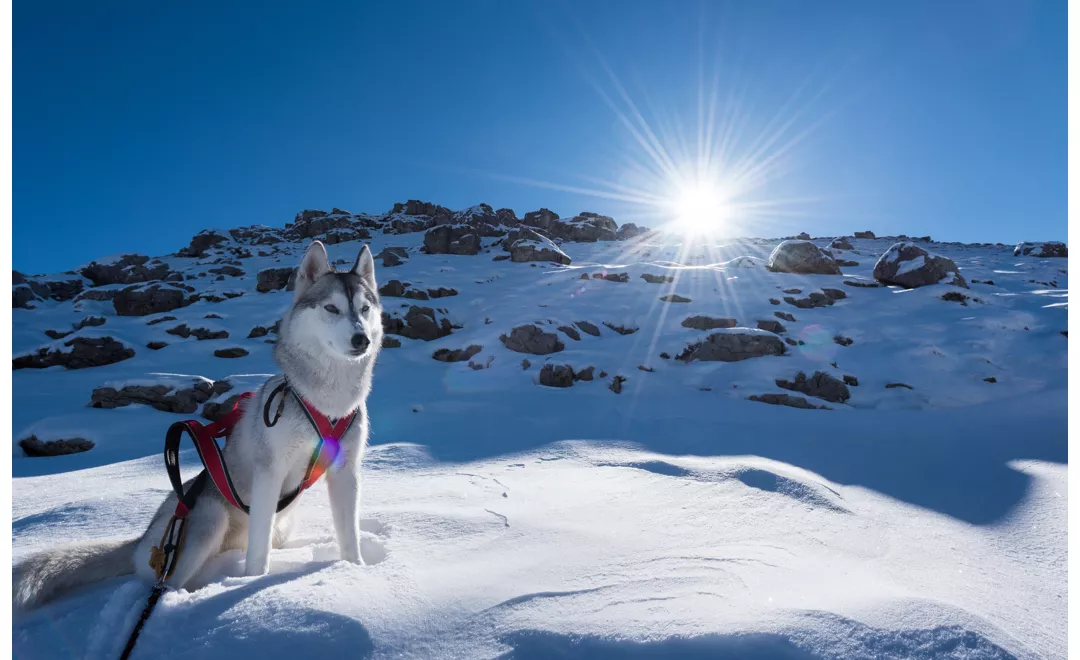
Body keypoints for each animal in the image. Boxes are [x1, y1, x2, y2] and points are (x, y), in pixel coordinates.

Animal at [13, 239, 384, 613]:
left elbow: (349, 534)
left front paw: (355, 571)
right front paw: (254, 586)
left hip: (281, 525)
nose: (361, 339)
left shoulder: (346, 472)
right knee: (167, 582)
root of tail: (141, 540)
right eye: (331, 308)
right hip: (207, 519)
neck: (327, 403)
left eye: (365, 309)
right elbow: (258, 553)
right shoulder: (270, 472)